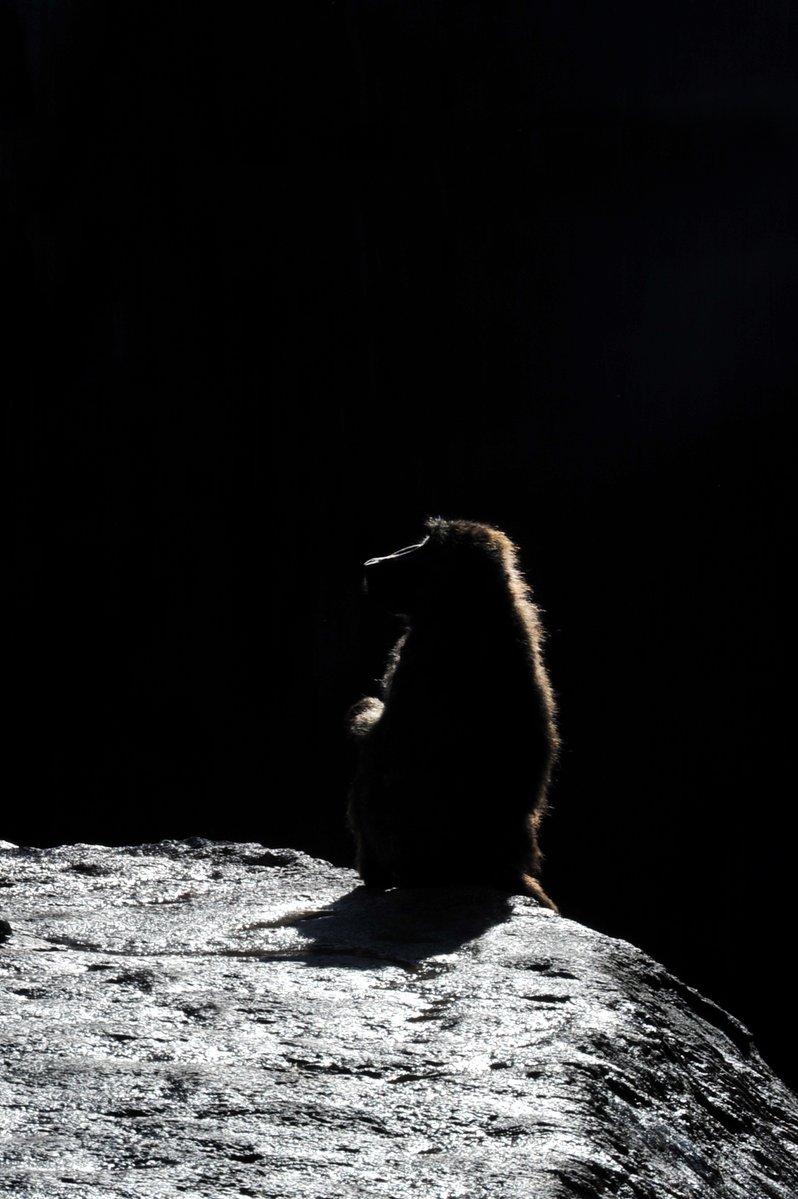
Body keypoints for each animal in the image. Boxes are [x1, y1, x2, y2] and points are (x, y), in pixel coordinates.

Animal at [347, 517, 559, 909]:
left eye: (423, 547)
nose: (372, 563)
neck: (470, 605)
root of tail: (500, 863)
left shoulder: (417, 652)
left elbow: (378, 735)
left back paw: (373, 875)